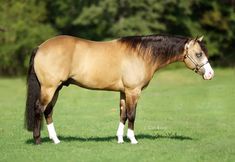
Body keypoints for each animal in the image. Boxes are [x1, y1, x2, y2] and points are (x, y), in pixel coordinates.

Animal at [24, 33, 214, 144]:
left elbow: (123, 114)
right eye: (199, 54)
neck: (141, 54)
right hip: (49, 88)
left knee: (48, 111)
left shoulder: (124, 92)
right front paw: (132, 139)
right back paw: (38, 140)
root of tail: (40, 47)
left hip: (56, 89)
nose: (210, 74)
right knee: (39, 108)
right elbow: (132, 115)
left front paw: (120, 139)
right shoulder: (133, 91)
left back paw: (55, 140)